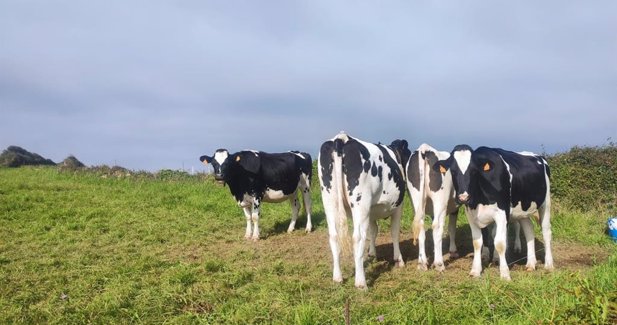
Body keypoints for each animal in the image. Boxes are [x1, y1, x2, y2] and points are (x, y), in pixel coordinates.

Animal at [318, 132, 410, 288]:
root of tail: (342, 138)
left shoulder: (371, 212)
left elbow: (373, 231)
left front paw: (372, 254)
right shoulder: (398, 207)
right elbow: (394, 232)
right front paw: (399, 259)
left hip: (329, 200)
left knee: (334, 235)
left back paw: (337, 277)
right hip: (361, 203)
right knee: (358, 237)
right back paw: (361, 282)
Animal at [434, 144, 552, 278]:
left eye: (474, 171)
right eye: (453, 171)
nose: (463, 197)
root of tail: (538, 156)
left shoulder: (502, 213)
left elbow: (500, 243)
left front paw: (504, 273)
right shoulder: (471, 215)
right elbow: (477, 242)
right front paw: (475, 270)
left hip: (545, 203)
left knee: (546, 232)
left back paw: (549, 265)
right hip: (523, 210)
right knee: (529, 231)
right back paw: (531, 264)